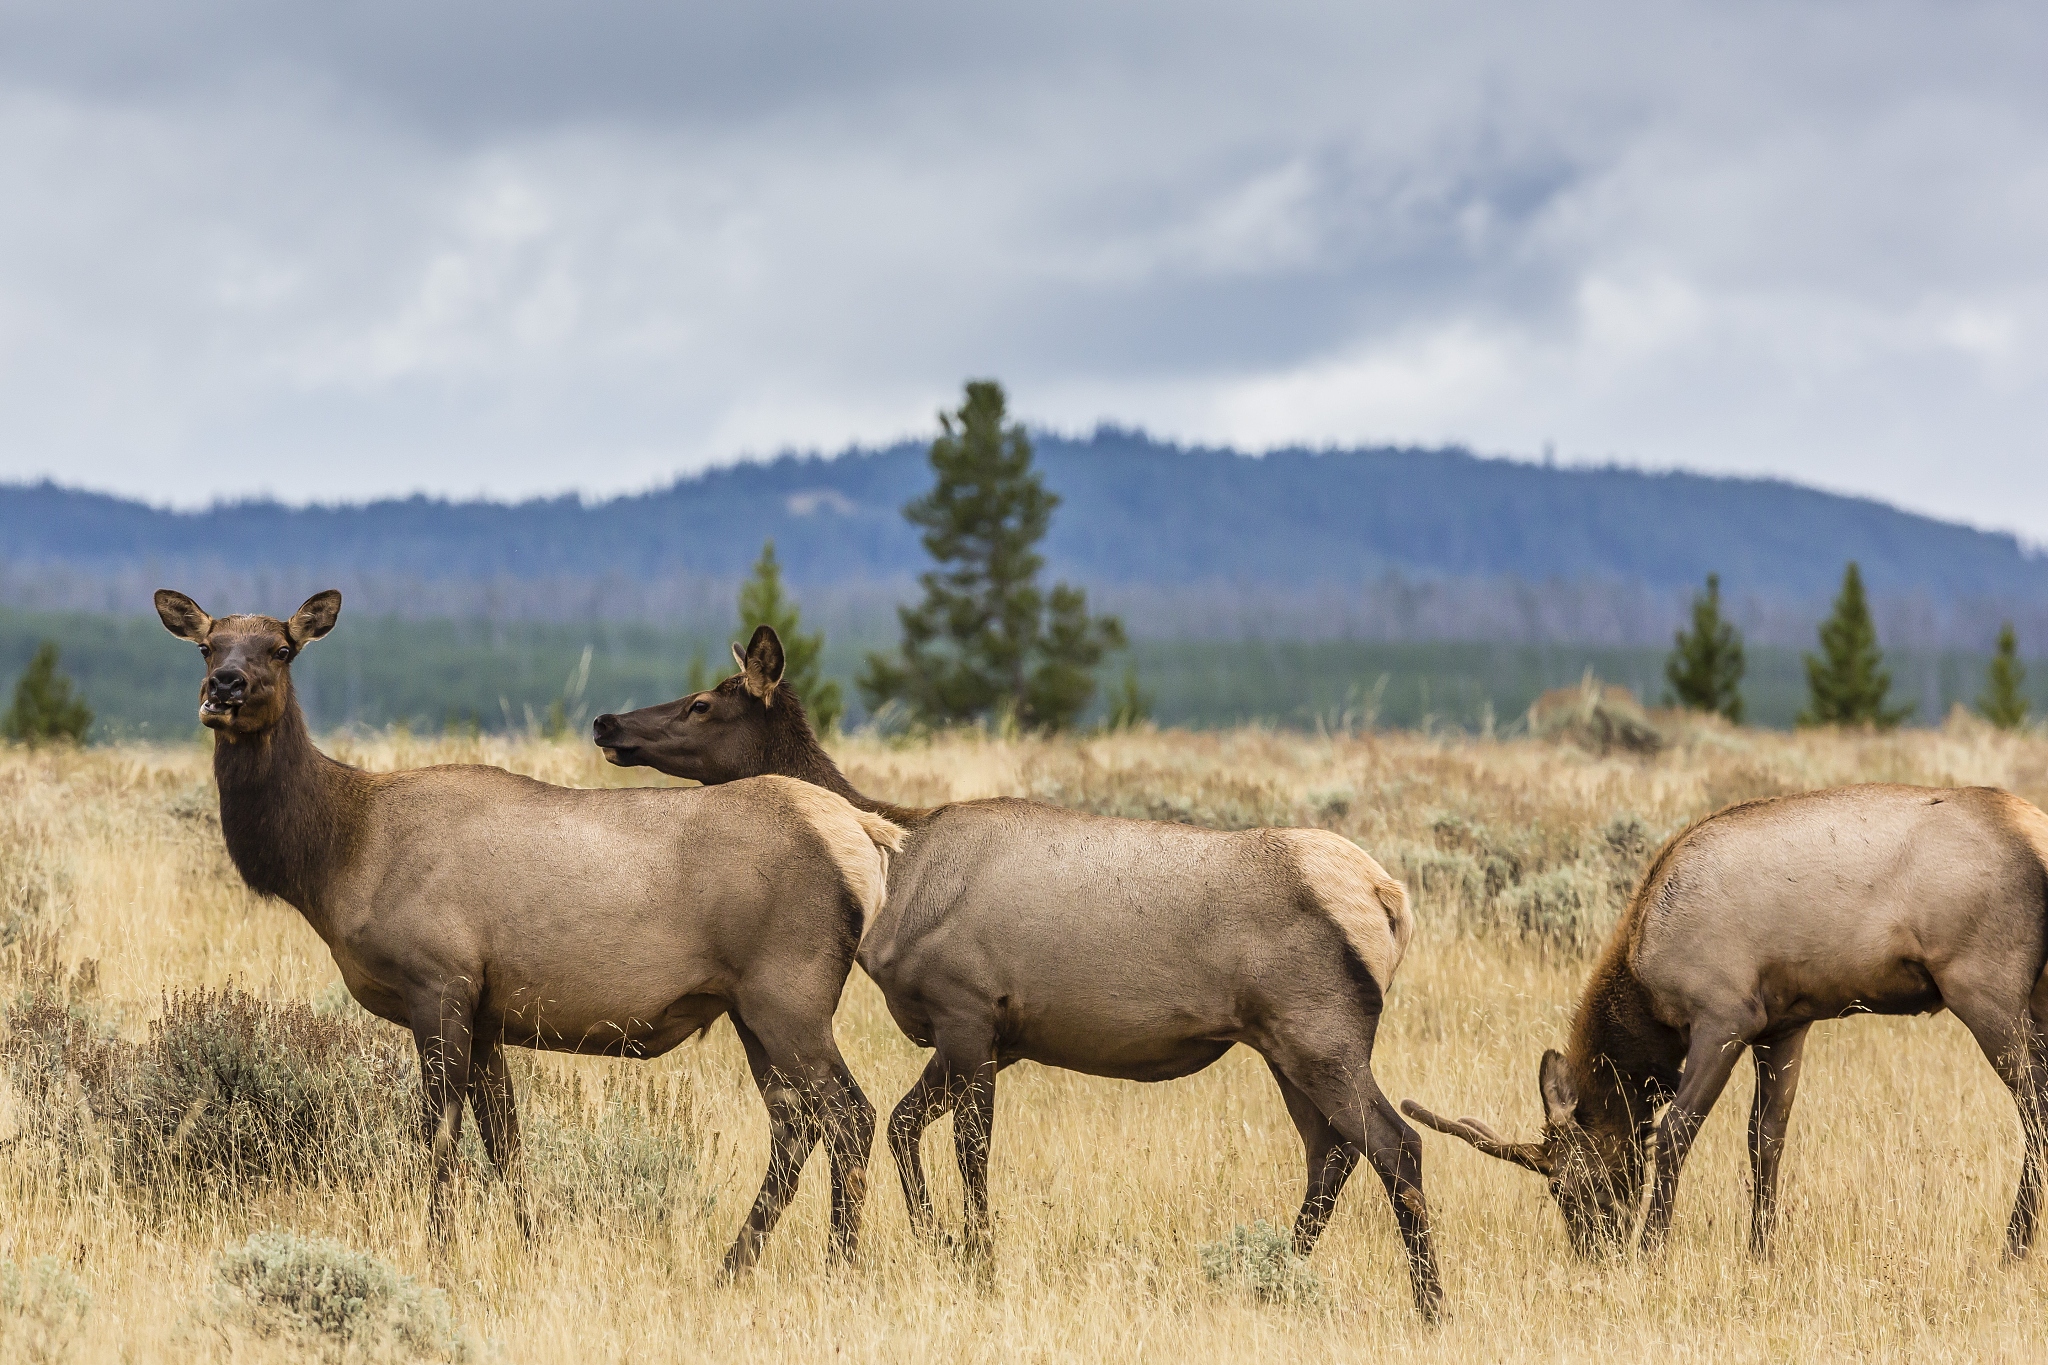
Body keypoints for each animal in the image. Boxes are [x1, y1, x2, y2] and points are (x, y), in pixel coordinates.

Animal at [155, 590, 904, 1274]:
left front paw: (439, 1252)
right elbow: (505, 1142)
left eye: (283, 648)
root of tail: (864, 836)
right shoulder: (488, 1011)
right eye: (207, 647)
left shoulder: (438, 979)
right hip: (751, 1008)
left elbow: (440, 1137)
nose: (224, 687)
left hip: (789, 993)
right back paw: (734, 1263)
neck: (337, 856)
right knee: (795, 1123)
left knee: (850, 1115)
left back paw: (839, 1262)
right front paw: (532, 1247)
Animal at [590, 626, 1443, 1316]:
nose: (607, 721)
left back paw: (1430, 1304)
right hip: (1282, 1043)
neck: (893, 881)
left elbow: (969, 1150)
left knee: (1395, 1143)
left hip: (1322, 1028)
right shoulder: (986, 1034)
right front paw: (942, 1241)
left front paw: (975, 1259)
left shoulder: (968, 1007)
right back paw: (1271, 1278)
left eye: (704, 703)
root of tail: (1388, 898)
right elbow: (904, 1124)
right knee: (1329, 1151)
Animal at [1403, 784, 2048, 1261]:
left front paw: (1652, 1251)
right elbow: (1766, 1139)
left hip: (1984, 987)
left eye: (1567, 1182)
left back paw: (2014, 1245)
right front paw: (1760, 1252)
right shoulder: (1784, 1024)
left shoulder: (1725, 1015)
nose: (1592, 1251)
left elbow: (1674, 1132)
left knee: (2035, 1104)